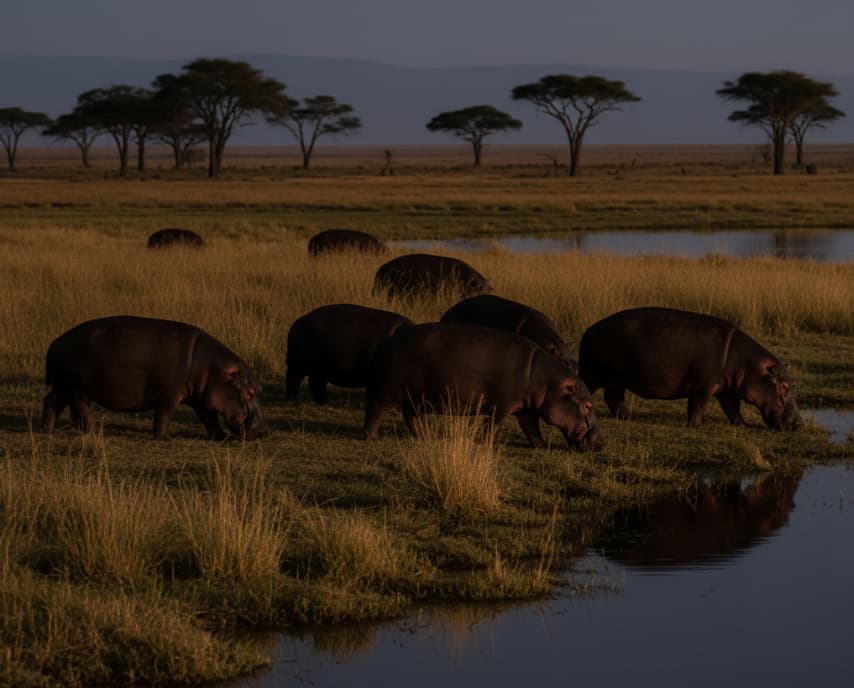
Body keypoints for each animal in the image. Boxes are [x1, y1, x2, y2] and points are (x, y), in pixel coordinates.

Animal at [42, 316, 270, 440]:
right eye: (249, 393)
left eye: (259, 389)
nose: (264, 432)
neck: (214, 370)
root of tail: (55, 342)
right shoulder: (170, 393)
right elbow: (165, 414)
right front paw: (163, 438)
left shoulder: (201, 397)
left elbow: (209, 418)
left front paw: (222, 438)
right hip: (78, 388)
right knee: (81, 410)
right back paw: (93, 431)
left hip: (64, 386)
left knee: (51, 402)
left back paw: (48, 430)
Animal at [364, 322, 601, 450]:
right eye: (588, 405)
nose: (601, 443)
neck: (548, 382)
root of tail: (385, 342)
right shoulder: (502, 405)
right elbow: (494, 424)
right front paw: (485, 443)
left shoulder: (525, 407)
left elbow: (532, 428)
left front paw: (541, 446)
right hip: (387, 392)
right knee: (376, 411)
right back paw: (373, 438)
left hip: (415, 398)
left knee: (410, 416)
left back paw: (428, 435)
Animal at [578, 307, 802, 430]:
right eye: (784, 385)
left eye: (792, 383)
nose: (800, 423)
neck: (747, 364)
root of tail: (588, 329)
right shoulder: (704, 386)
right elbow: (698, 406)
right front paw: (696, 426)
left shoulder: (727, 389)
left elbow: (733, 409)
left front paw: (743, 425)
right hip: (595, 375)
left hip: (617, 379)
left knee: (613, 398)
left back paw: (631, 417)